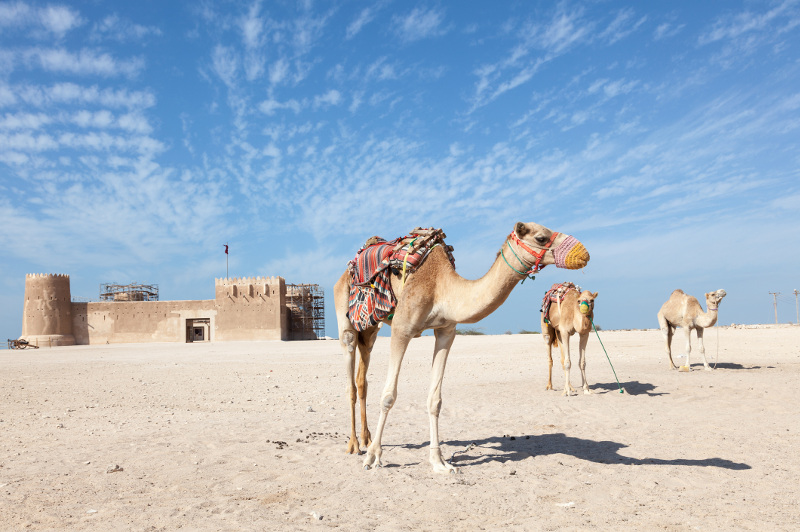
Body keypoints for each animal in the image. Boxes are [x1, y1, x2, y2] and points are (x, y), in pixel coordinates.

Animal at [332, 222, 588, 472]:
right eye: (541, 238)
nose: (583, 253)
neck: (441, 286)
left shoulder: (446, 331)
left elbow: (435, 400)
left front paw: (439, 461)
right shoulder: (401, 328)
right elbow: (388, 396)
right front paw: (373, 457)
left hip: (370, 329)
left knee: (362, 379)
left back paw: (366, 438)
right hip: (347, 320)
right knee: (350, 377)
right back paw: (355, 445)